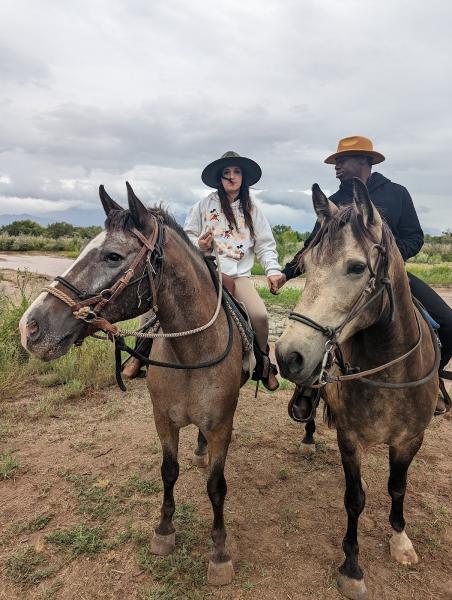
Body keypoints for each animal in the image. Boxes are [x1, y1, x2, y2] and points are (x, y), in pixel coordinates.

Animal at [20, 184, 247, 584]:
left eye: (113, 256)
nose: (30, 327)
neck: (192, 353)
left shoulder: (223, 426)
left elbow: (217, 487)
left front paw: (219, 552)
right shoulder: (163, 421)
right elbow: (169, 473)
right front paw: (164, 531)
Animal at [276, 179, 438, 600]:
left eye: (356, 267)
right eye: (305, 267)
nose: (288, 355)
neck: (390, 370)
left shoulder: (410, 439)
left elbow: (397, 487)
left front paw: (400, 540)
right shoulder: (350, 438)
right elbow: (355, 499)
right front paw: (351, 566)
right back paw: (308, 438)